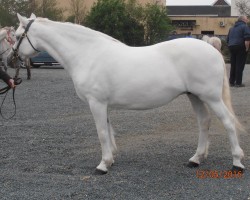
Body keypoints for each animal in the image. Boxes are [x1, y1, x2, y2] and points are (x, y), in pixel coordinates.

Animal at [9, 13, 244, 173]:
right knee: (204, 122)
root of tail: (212, 48)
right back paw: (196, 159)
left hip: (211, 97)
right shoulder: (102, 104)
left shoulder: (96, 102)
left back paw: (237, 162)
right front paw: (111, 158)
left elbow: (101, 132)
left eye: (18, 35)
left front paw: (103, 165)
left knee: (228, 123)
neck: (87, 54)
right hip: (194, 96)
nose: (10, 60)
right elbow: (108, 130)